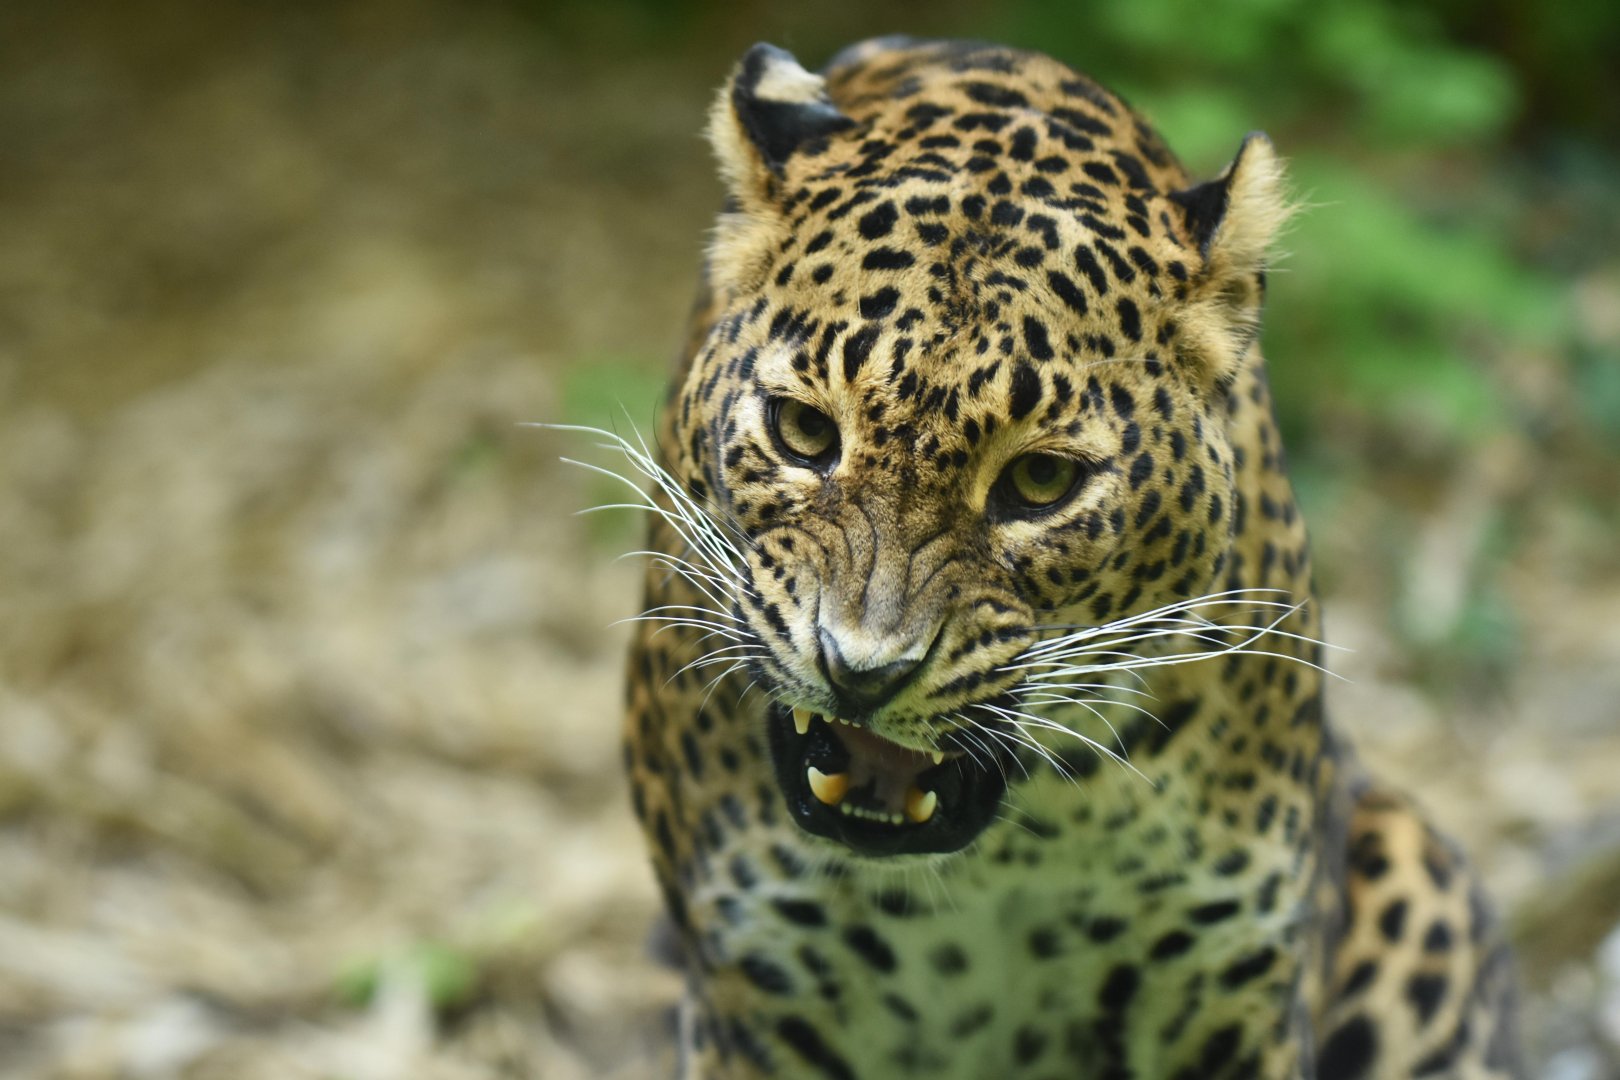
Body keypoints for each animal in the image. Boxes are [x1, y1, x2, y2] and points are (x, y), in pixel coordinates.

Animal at [601, 36, 1525, 1080]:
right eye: (802, 432)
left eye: (1040, 482)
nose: (861, 673)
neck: (1005, 855)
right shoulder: (756, 986)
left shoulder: (1229, 991)